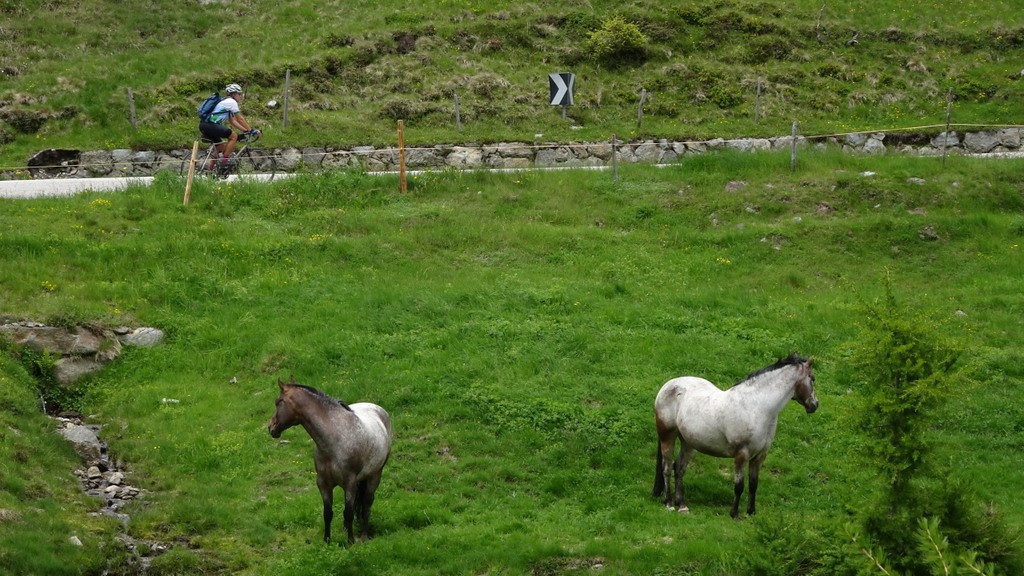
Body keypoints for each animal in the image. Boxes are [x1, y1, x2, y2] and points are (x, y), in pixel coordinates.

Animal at [268, 377, 391, 541]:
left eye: (278, 402)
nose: (271, 428)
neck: (334, 441)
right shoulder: (323, 483)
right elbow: (328, 513)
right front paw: (327, 541)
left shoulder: (350, 483)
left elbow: (348, 512)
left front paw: (351, 541)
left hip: (374, 475)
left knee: (367, 503)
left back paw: (364, 535)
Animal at [655, 352, 815, 518]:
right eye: (813, 378)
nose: (814, 405)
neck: (757, 407)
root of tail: (668, 385)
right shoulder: (741, 454)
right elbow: (739, 486)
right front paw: (735, 514)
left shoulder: (760, 456)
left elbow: (753, 484)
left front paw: (751, 512)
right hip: (667, 437)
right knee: (667, 467)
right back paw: (668, 503)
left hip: (688, 443)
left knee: (679, 468)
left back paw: (681, 505)